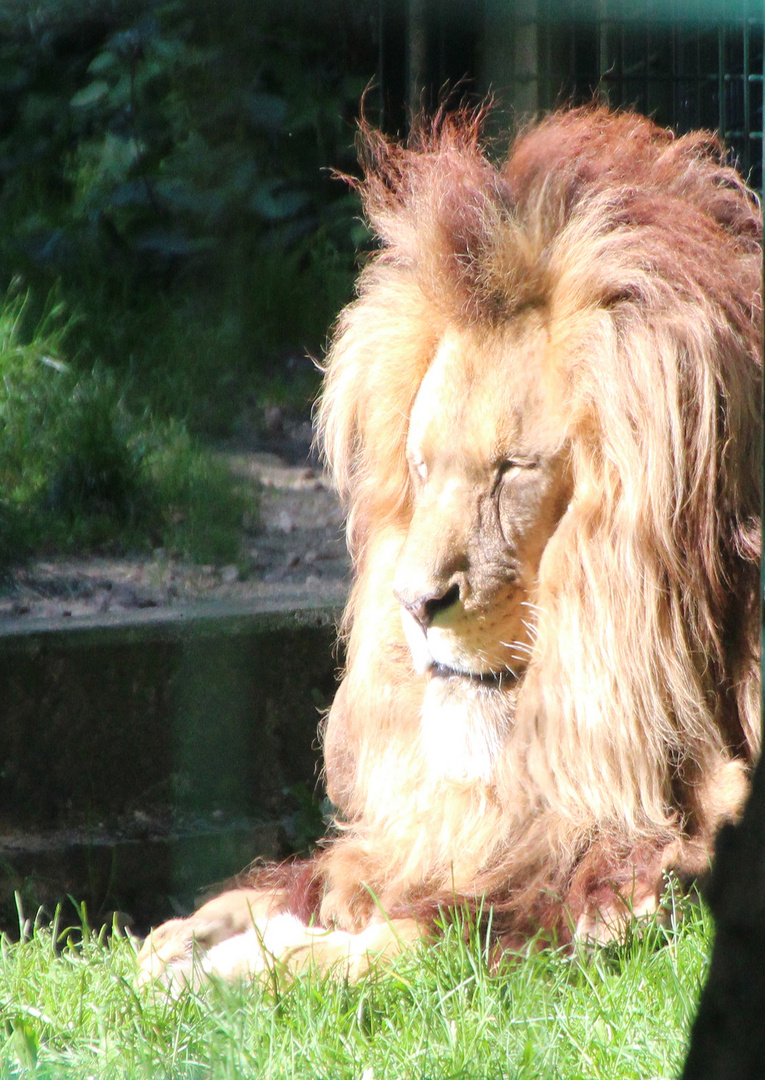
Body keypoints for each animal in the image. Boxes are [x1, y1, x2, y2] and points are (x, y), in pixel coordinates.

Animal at [136, 107, 760, 989]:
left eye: (512, 471)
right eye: (423, 466)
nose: (416, 602)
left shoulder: (609, 888)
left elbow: (408, 940)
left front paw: (240, 968)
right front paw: (192, 932)